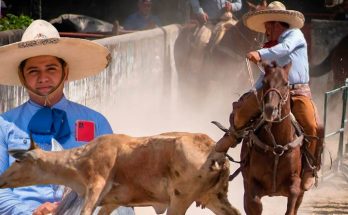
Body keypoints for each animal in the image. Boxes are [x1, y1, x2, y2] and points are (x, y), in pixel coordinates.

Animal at [0, 132, 241, 214]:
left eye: (18, 160)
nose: (1, 179)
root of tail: (214, 151)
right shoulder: (111, 202)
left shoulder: (94, 188)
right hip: (213, 198)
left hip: (180, 201)